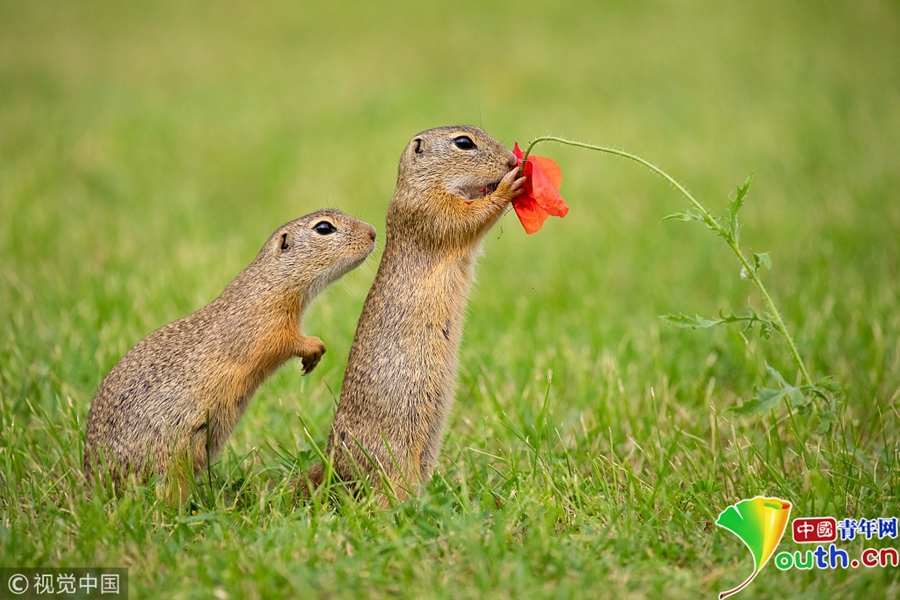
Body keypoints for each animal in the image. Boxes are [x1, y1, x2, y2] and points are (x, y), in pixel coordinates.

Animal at [84, 209, 376, 500]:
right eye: (324, 228)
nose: (373, 232)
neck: (270, 281)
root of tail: (92, 487)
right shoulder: (265, 326)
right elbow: (285, 341)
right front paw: (315, 346)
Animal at [306, 125, 524, 502]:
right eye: (464, 142)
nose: (512, 159)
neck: (425, 183)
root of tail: (332, 466)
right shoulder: (429, 211)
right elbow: (468, 218)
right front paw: (510, 184)